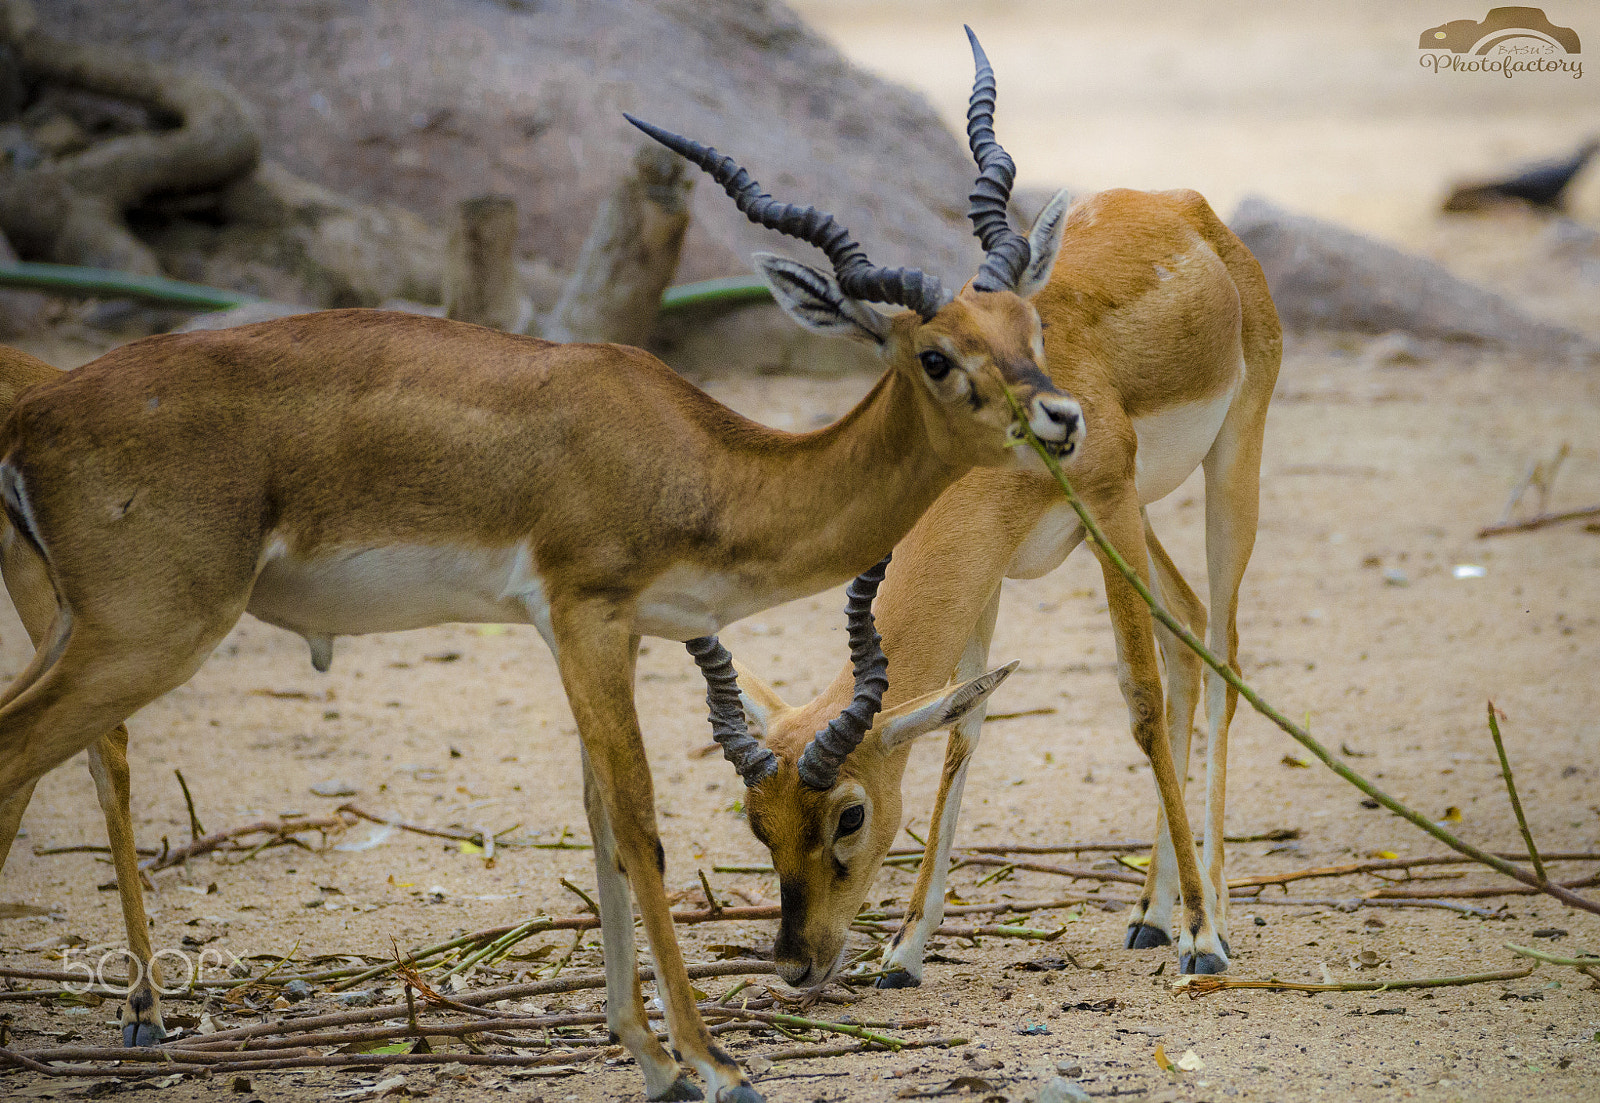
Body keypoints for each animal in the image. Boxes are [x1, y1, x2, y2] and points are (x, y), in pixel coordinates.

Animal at [0, 91, 1083, 1103]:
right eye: (935, 355)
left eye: (1029, 326)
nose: (1062, 418)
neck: (704, 462)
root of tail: (36, 414)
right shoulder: (588, 613)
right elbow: (638, 821)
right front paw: (713, 1061)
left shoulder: (602, 632)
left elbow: (597, 815)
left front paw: (651, 1057)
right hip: (148, 632)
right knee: (30, 752)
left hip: (75, 627)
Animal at [697, 28, 1283, 989]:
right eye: (757, 821)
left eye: (849, 814)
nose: (797, 961)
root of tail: (1190, 210)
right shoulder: (993, 564)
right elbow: (964, 724)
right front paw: (903, 950)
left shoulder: (1106, 503)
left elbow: (1139, 699)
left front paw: (1205, 936)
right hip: (1134, 528)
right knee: (1189, 629)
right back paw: (1151, 914)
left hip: (1228, 463)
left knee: (1221, 651)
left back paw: (1210, 917)